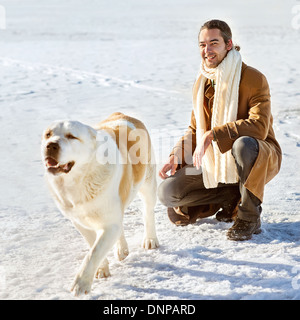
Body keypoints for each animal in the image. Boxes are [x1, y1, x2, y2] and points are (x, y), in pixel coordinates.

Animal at [42, 112, 161, 296]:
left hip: (147, 182)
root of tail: (123, 115)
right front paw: (102, 269)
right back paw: (121, 249)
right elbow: (93, 246)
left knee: (148, 211)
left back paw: (150, 239)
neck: (79, 180)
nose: (51, 145)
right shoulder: (80, 222)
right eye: (48, 134)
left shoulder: (109, 223)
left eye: (71, 136)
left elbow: (93, 254)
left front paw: (81, 284)